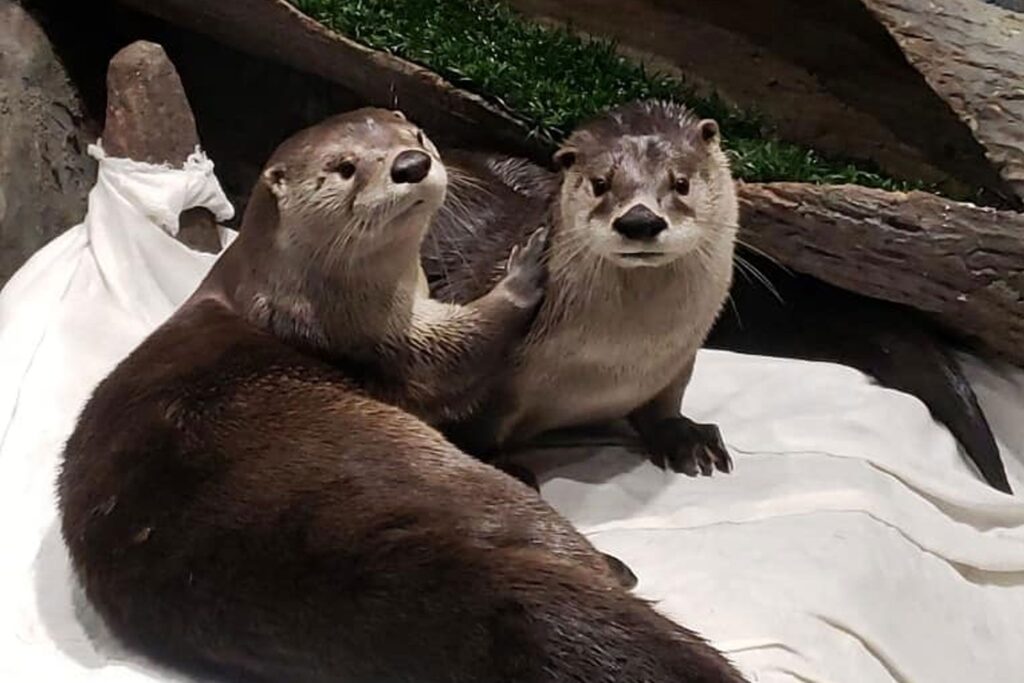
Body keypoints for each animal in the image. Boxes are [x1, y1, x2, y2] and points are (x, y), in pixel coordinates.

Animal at [426, 101, 737, 477]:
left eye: (681, 182)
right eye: (600, 183)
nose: (640, 220)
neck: (618, 362)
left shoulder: (678, 362)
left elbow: (665, 403)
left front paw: (685, 436)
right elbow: (469, 424)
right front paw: (502, 466)